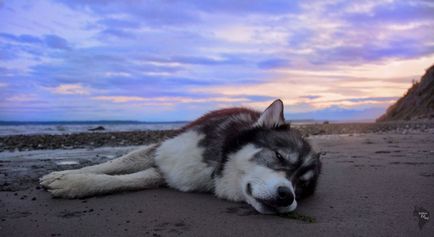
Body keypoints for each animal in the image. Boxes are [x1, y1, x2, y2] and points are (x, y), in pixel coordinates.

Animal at [39, 99, 318, 214]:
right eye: (279, 156)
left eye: (301, 186)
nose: (286, 196)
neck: (216, 162)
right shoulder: (163, 150)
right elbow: (113, 164)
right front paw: (66, 176)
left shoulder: (166, 173)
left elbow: (124, 180)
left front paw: (73, 184)